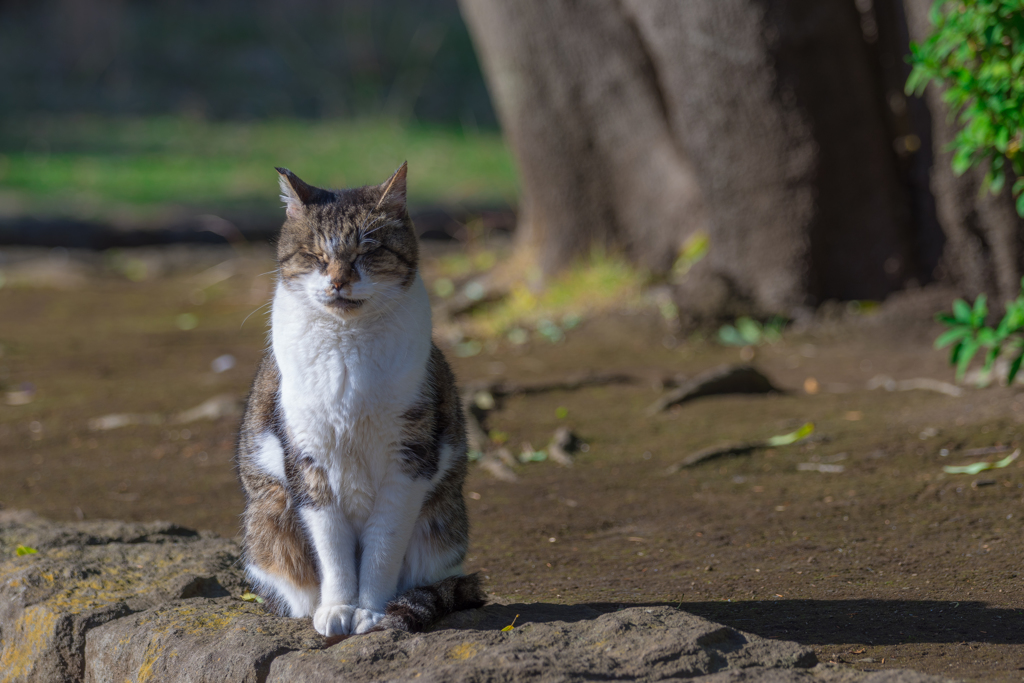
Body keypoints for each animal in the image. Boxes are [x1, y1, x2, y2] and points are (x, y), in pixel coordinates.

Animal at [235, 161, 483, 634]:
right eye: (316, 256)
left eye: (367, 252)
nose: (337, 280)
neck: (346, 346)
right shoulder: (308, 460)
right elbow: (331, 547)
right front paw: (337, 607)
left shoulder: (409, 458)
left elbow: (382, 545)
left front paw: (369, 609)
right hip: (268, 523)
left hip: (442, 527)